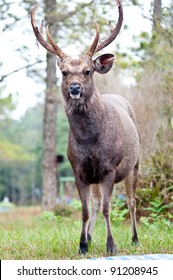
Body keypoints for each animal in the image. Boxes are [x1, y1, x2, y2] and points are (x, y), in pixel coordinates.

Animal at [31, 0, 141, 254]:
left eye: (87, 71)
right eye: (64, 72)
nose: (74, 87)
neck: (90, 141)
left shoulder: (109, 168)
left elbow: (108, 209)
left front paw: (111, 246)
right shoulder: (79, 170)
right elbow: (85, 210)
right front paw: (82, 245)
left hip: (135, 163)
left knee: (131, 202)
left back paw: (134, 239)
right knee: (97, 202)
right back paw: (90, 237)